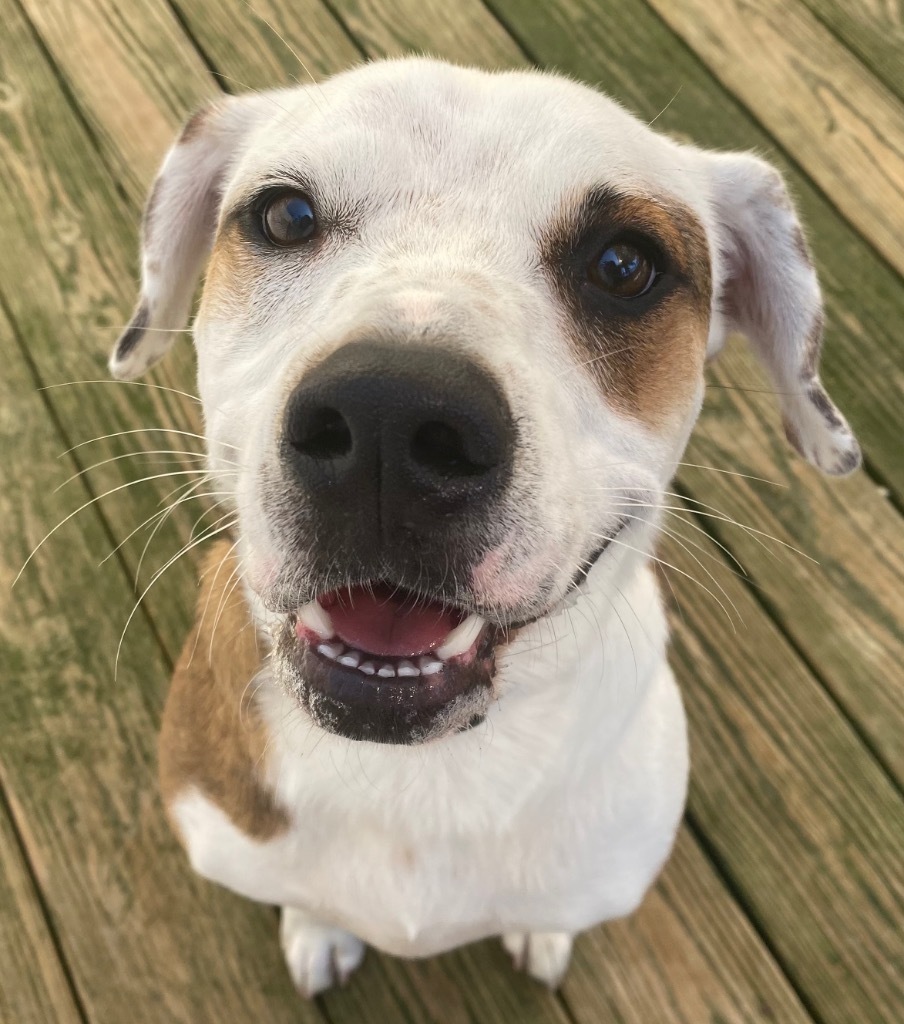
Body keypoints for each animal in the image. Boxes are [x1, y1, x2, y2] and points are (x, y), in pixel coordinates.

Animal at [109, 59, 859, 995]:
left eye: (625, 265)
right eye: (284, 216)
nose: (390, 418)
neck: (425, 774)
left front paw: (541, 932)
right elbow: (307, 897)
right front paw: (317, 928)